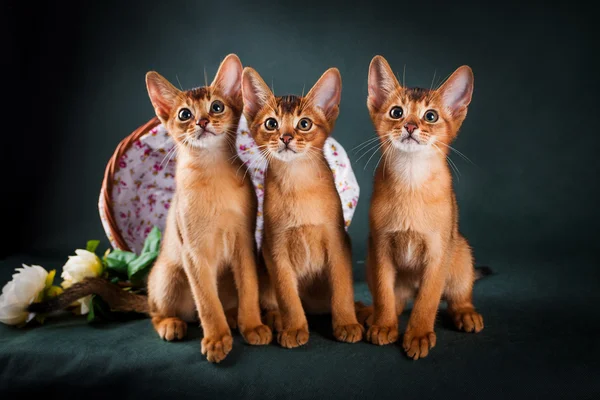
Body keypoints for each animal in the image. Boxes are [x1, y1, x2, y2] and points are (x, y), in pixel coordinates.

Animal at [144, 54, 270, 362]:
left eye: (217, 107)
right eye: (184, 115)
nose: (202, 121)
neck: (212, 174)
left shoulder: (244, 243)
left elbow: (249, 288)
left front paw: (252, 326)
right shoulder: (194, 253)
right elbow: (207, 303)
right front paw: (216, 339)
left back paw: (235, 317)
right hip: (168, 275)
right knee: (154, 312)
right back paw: (172, 324)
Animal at [240, 67, 364, 348]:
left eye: (304, 123)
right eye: (271, 123)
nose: (286, 137)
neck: (298, 183)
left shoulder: (338, 241)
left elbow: (342, 289)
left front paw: (347, 323)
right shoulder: (275, 249)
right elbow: (287, 296)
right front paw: (295, 327)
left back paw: (363, 310)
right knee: (275, 302)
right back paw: (276, 318)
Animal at [364, 55, 486, 360]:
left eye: (430, 116)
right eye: (396, 112)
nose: (409, 126)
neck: (411, 180)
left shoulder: (438, 253)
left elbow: (428, 301)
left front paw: (418, 334)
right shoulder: (380, 248)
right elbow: (384, 293)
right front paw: (385, 326)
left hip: (461, 252)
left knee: (457, 296)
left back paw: (466, 314)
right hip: (371, 261)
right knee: (395, 300)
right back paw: (374, 315)